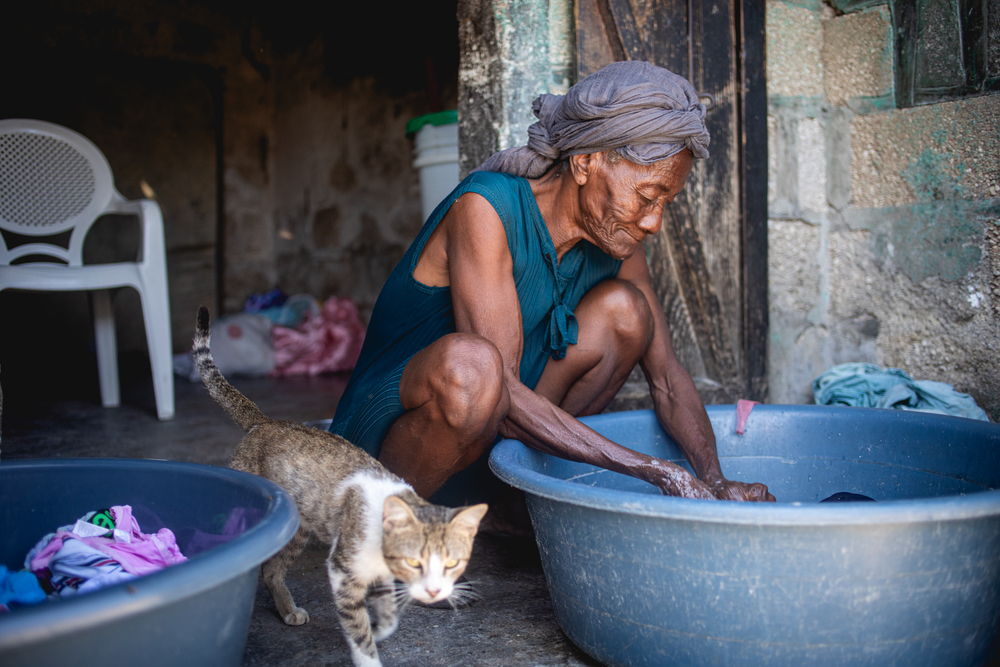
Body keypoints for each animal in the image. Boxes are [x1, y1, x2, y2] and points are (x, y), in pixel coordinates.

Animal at [192, 308, 488, 667]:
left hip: (299, 527)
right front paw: (368, 650)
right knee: (258, 559)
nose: (435, 591)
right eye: (416, 562)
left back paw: (287, 609)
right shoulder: (343, 569)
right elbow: (358, 628)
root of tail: (267, 421)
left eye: (452, 565)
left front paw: (382, 623)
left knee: (272, 570)